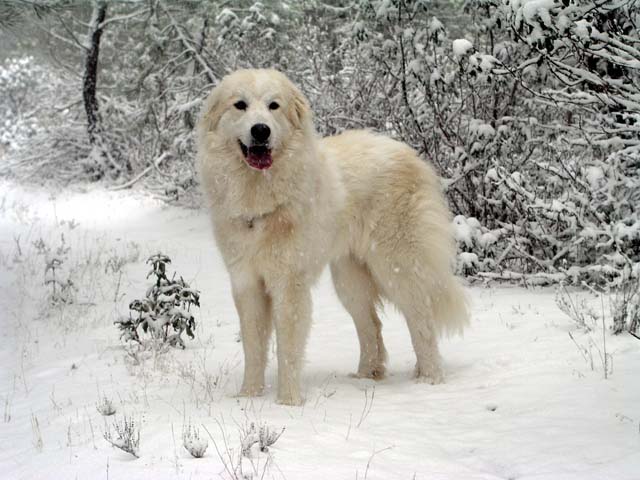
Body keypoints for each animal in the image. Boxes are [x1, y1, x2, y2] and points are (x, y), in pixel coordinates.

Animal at [198, 67, 468, 404]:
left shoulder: (289, 285)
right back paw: (366, 376)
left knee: (422, 320)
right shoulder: (246, 283)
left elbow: (288, 348)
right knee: (371, 325)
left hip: (397, 267)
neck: (260, 199)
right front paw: (249, 397)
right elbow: (253, 346)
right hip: (349, 279)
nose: (260, 131)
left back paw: (430, 379)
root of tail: (411, 155)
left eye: (274, 106)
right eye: (240, 105)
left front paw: (288, 402)